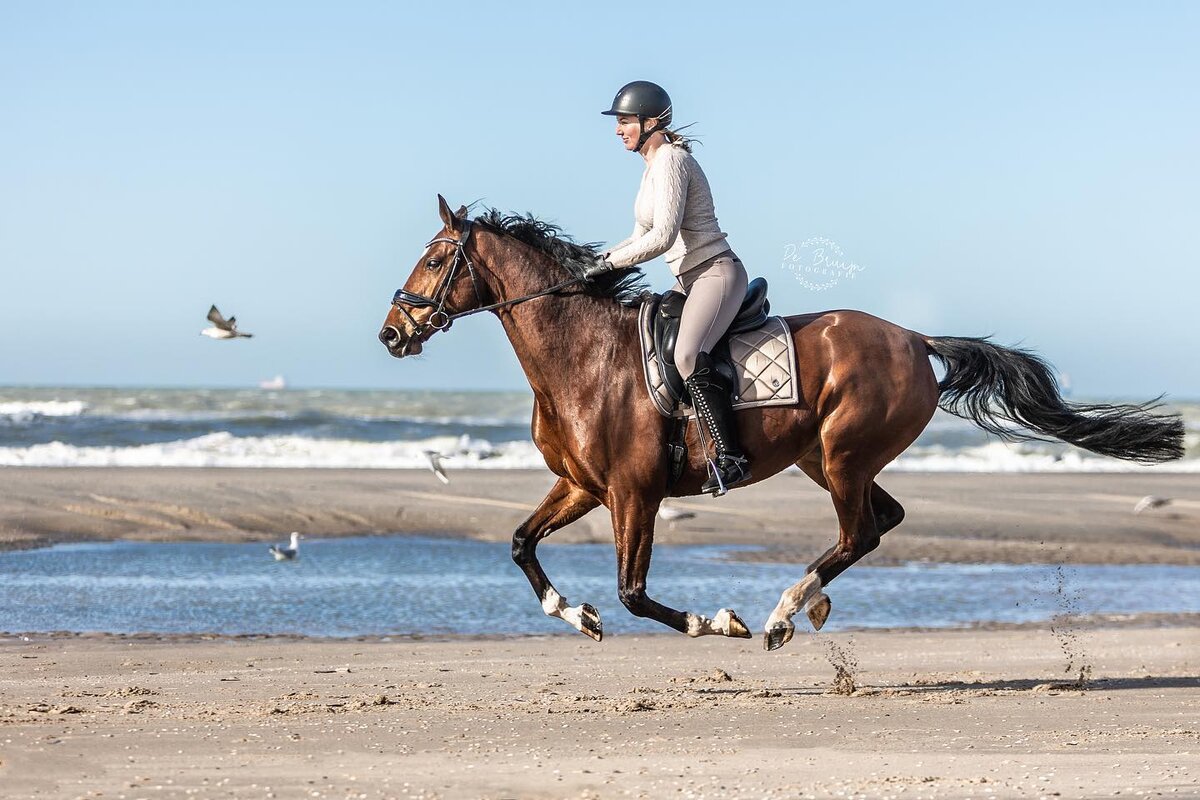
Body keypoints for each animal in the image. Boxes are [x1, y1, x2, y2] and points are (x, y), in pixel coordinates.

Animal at [379, 196, 1185, 652]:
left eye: (435, 260)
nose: (392, 334)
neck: (584, 355)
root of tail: (914, 339)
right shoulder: (583, 486)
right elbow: (521, 545)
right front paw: (573, 614)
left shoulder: (636, 494)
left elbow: (634, 591)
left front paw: (718, 622)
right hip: (825, 459)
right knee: (881, 521)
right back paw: (809, 604)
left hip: (842, 454)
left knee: (860, 531)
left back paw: (778, 615)